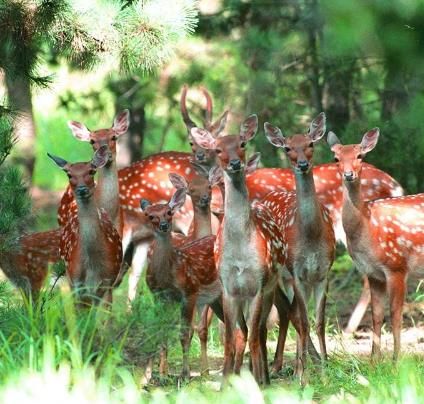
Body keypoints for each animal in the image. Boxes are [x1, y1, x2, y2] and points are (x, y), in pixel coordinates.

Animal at [49, 146, 123, 304]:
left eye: (91, 171)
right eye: (69, 174)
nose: (82, 189)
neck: (92, 266)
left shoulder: (108, 282)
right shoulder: (76, 282)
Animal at [141, 188, 225, 378]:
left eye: (169, 212)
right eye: (149, 215)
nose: (164, 225)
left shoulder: (189, 292)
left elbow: (184, 333)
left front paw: (185, 373)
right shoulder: (159, 296)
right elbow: (162, 329)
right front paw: (162, 375)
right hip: (214, 299)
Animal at [190, 113, 290, 386]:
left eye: (243, 144)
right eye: (217, 149)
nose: (235, 163)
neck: (240, 255)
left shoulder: (258, 284)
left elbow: (254, 336)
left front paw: (258, 383)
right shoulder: (228, 287)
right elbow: (229, 338)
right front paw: (224, 382)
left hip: (271, 286)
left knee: (262, 330)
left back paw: (263, 376)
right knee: (246, 331)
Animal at [264, 113, 336, 372]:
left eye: (311, 143)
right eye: (287, 148)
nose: (303, 164)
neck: (311, 237)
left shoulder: (323, 273)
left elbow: (320, 321)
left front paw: (326, 365)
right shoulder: (298, 273)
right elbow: (304, 320)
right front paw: (306, 370)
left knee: (289, 312)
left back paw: (289, 363)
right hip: (277, 275)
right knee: (288, 312)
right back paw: (283, 365)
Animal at [328, 129, 424, 360]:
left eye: (360, 156)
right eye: (336, 158)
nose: (348, 174)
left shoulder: (397, 266)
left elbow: (395, 314)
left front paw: (396, 360)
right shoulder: (372, 273)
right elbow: (377, 315)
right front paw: (373, 361)